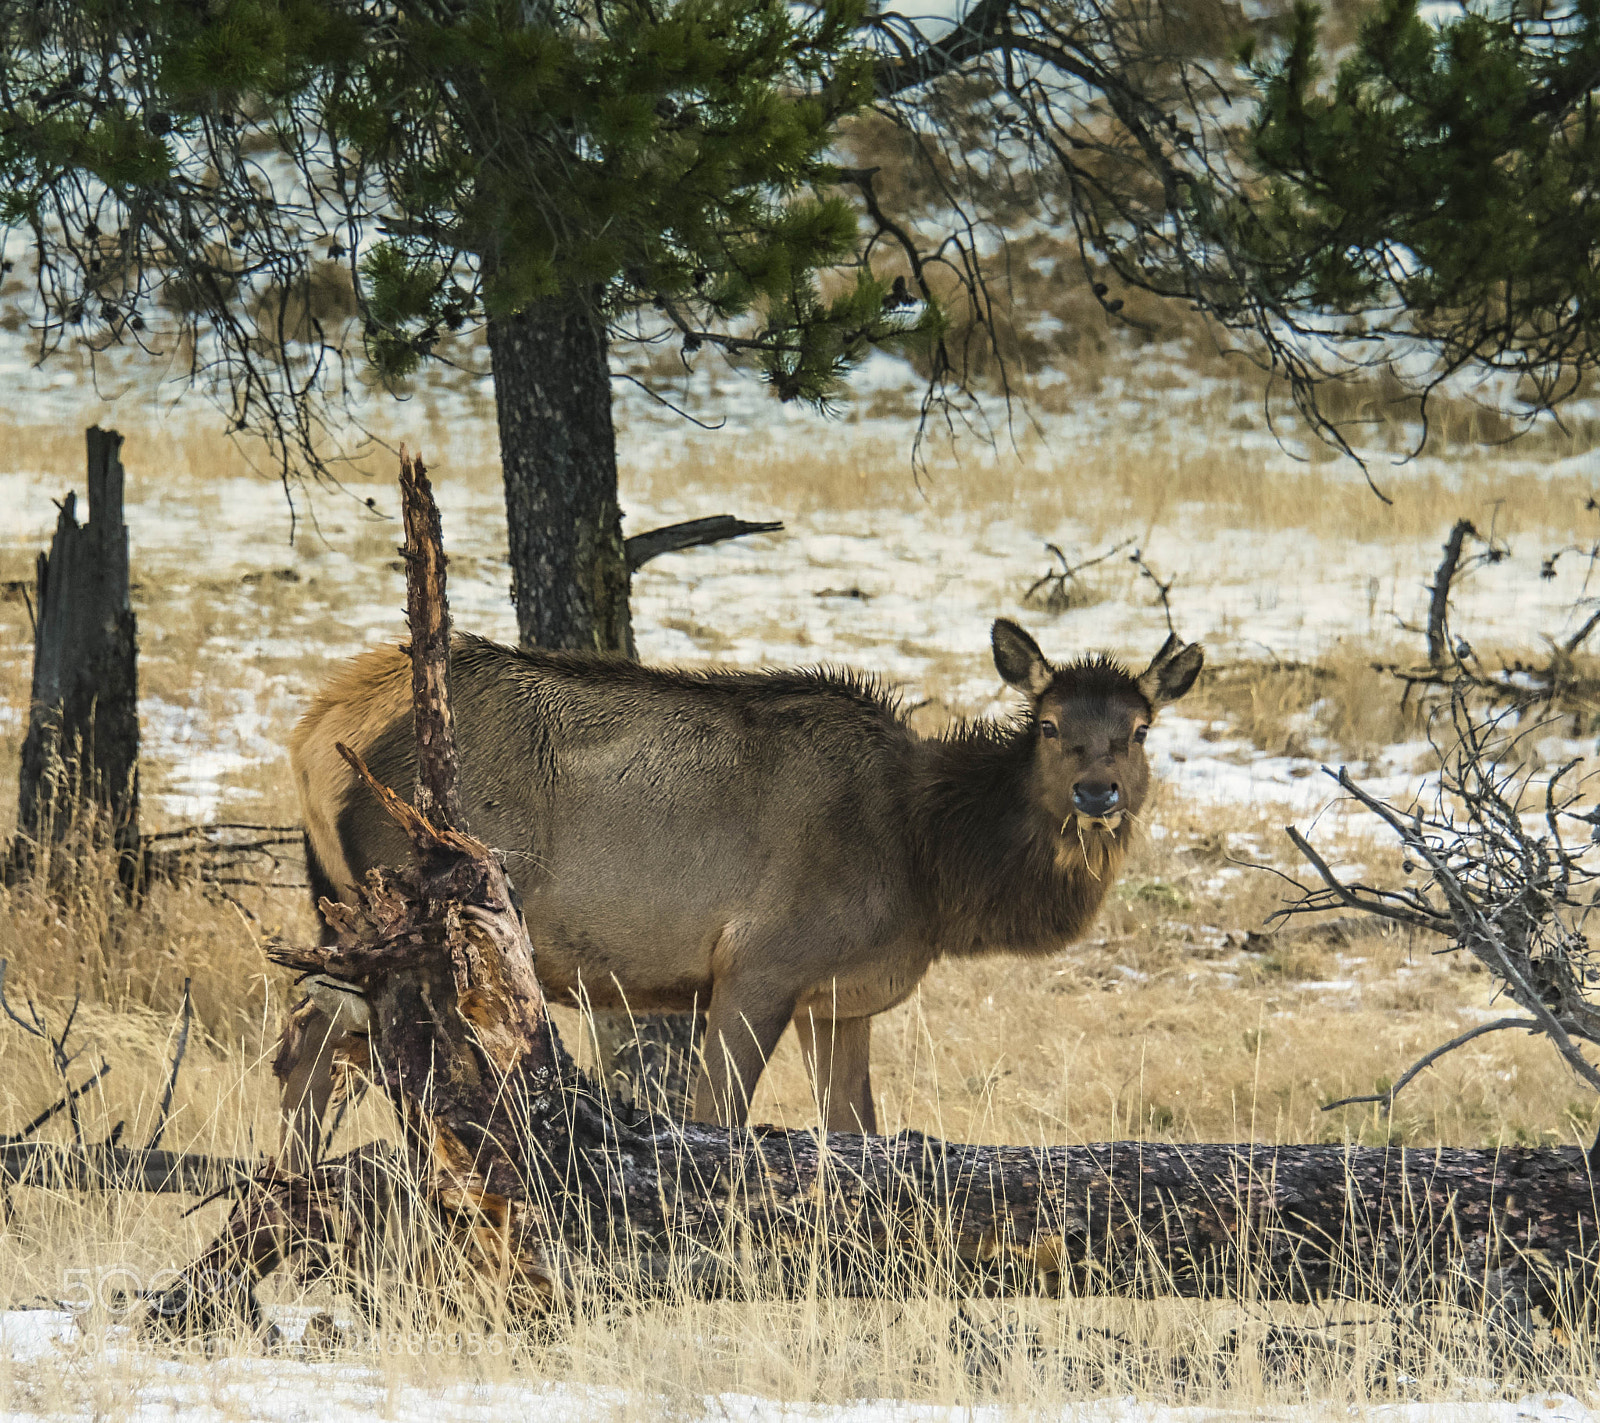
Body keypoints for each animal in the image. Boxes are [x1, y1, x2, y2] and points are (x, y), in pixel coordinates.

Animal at [277, 619, 1201, 1167]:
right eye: (1049, 725)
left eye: (1139, 728)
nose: (1096, 792)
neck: (926, 865)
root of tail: (313, 733)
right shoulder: (763, 960)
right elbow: (717, 1115)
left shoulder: (840, 998)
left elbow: (856, 1131)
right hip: (406, 909)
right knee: (340, 1055)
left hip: (346, 912)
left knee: (311, 1047)